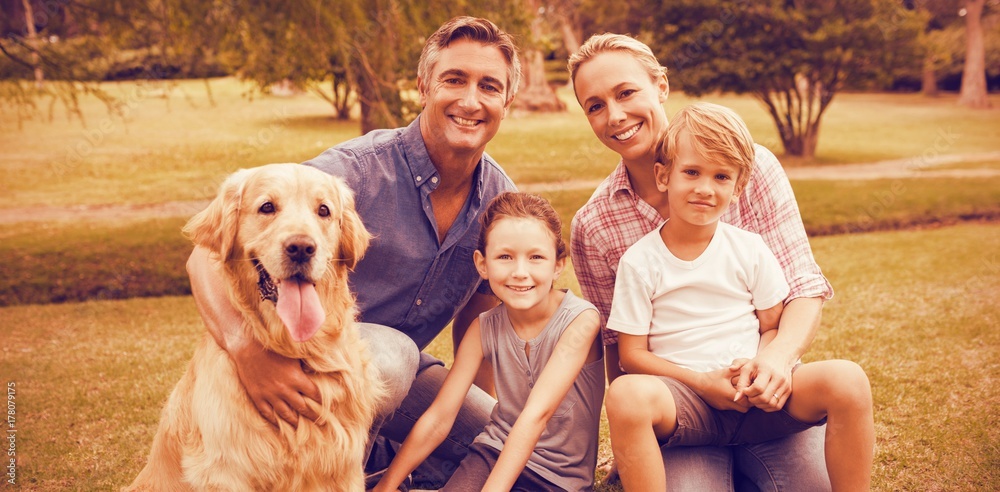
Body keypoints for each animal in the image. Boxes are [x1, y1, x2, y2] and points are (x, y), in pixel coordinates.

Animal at [127, 164, 384, 492]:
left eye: (324, 210)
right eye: (267, 207)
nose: (301, 248)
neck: (297, 347)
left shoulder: (343, 468)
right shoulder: (226, 471)